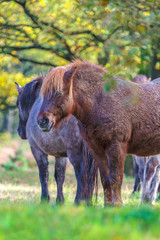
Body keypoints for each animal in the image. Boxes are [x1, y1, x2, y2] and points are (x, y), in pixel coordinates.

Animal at [37, 60, 160, 206]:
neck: (101, 101)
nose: (42, 121)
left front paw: (117, 205)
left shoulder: (116, 147)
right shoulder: (97, 150)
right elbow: (105, 180)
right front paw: (108, 205)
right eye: (44, 93)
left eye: (58, 93)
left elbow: (115, 178)